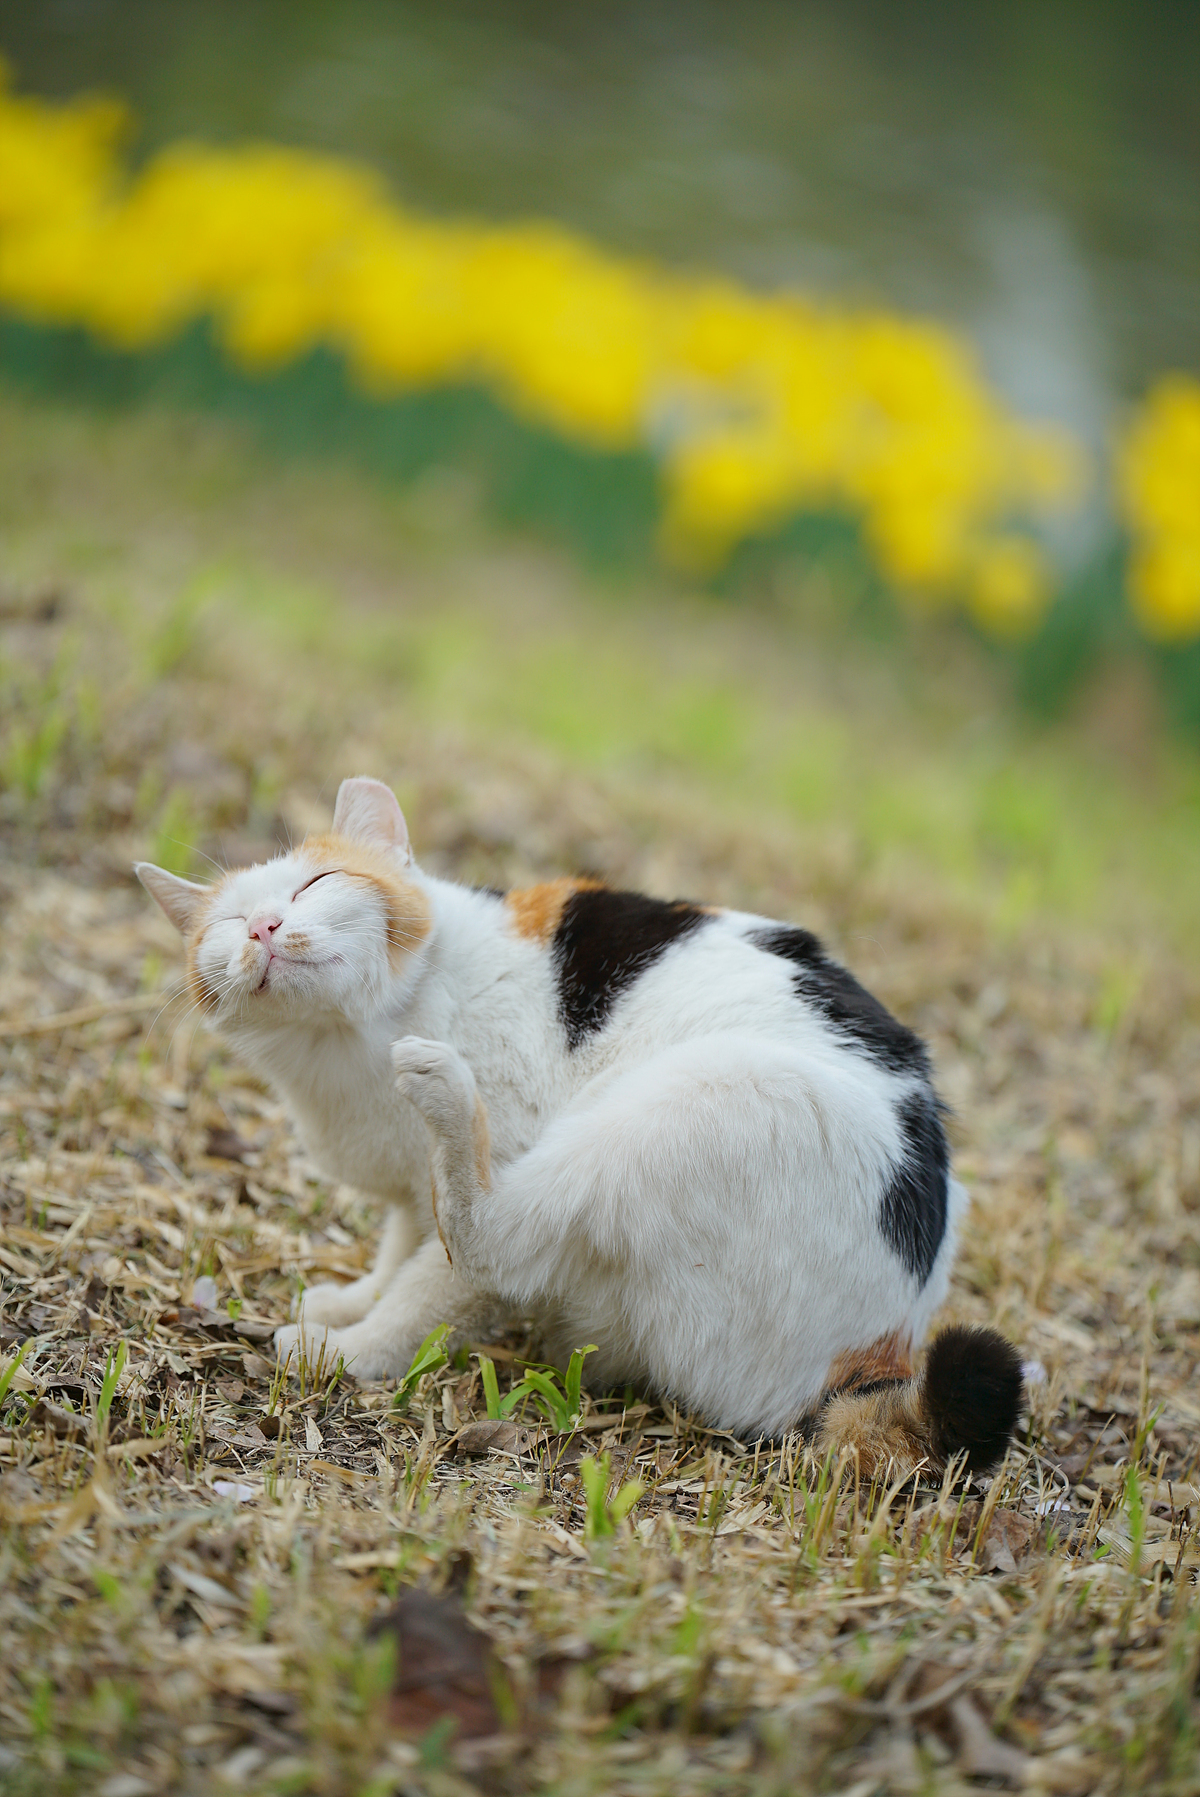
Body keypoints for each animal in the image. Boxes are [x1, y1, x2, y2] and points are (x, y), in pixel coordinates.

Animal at [141, 776, 1020, 1473]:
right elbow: (403, 1247)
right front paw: (350, 1300)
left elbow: (432, 1288)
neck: (343, 1044)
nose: (261, 929)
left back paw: (446, 1096)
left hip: (698, 1093)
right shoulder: (406, 1193)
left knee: (495, 1238)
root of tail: (879, 1354)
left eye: (317, 883)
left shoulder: (508, 1159)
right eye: (227, 924)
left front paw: (349, 1347)